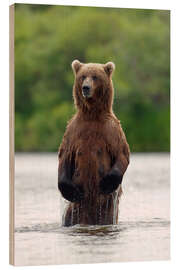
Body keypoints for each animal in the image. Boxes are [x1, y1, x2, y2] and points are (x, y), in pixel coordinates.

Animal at [57, 60, 129, 227]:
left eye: (95, 76)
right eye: (83, 76)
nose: (86, 87)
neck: (92, 115)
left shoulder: (112, 131)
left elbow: (122, 154)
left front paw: (107, 183)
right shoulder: (73, 131)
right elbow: (64, 156)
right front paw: (70, 191)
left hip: (108, 211)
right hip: (74, 211)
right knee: (69, 217)